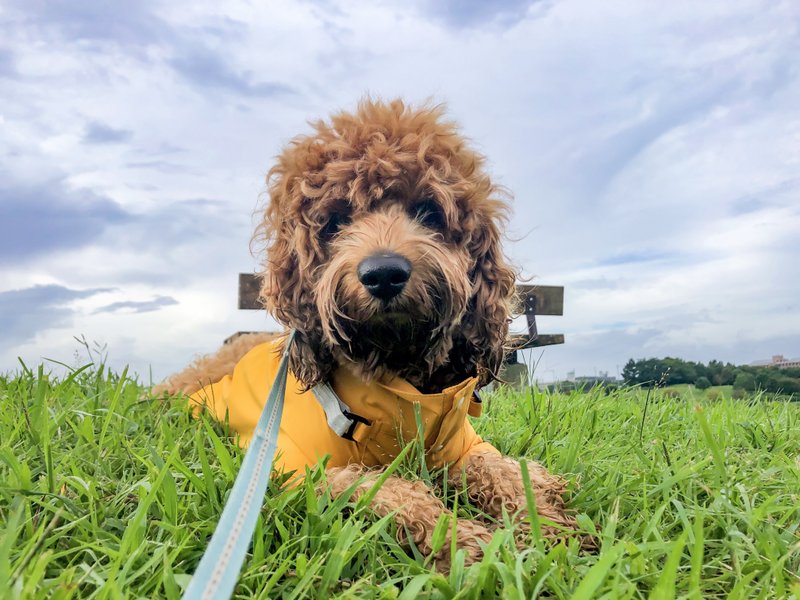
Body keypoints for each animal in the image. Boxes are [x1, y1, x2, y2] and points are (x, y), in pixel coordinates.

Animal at [156, 97, 584, 568]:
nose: (383, 274)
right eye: (336, 221)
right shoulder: (308, 471)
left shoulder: (465, 447)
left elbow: (503, 470)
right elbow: (394, 492)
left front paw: (546, 523)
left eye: (428, 211)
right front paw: (470, 544)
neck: (395, 364)